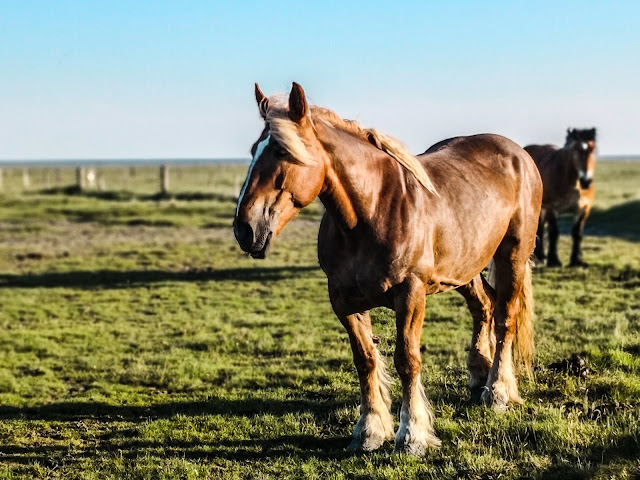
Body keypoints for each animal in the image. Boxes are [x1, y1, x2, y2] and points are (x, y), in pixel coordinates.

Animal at [232, 81, 544, 454]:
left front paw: (411, 436)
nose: (245, 229)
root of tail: (517, 153)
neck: (370, 212)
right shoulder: (343, 300)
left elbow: (407, 361)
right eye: (254, 150)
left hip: (512, 255)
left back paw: (497, 392)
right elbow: (365, 359)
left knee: (505, 318)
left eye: (281, 151)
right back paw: (479, 374)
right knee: (484, 306)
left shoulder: (410, 293)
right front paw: (369, 430)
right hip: (465, 268)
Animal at [528, 127, 596, 268]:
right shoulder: (552, 208)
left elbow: (577, 233)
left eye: (593, 149)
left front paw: (577, 260)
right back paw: (540, 257)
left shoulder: (584, 209)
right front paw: (554, 261)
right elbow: (554, 233)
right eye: (576, 149)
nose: (586, 181)